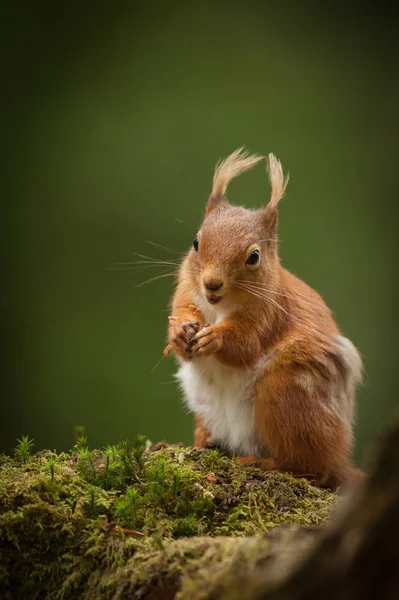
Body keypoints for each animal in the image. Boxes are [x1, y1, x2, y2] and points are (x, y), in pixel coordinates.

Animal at [164, 148, 364, 490]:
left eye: (254, 257)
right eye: (196, 242)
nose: (211, 284)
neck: (219, 306)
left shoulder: (269, 312)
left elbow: (244, 344)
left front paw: (215, 338)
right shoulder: (186, 291)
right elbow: (182, 319)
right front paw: (179, 331)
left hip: (286, 392)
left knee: (310, 469)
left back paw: (262, 461)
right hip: (206, 406)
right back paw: (204, 444)